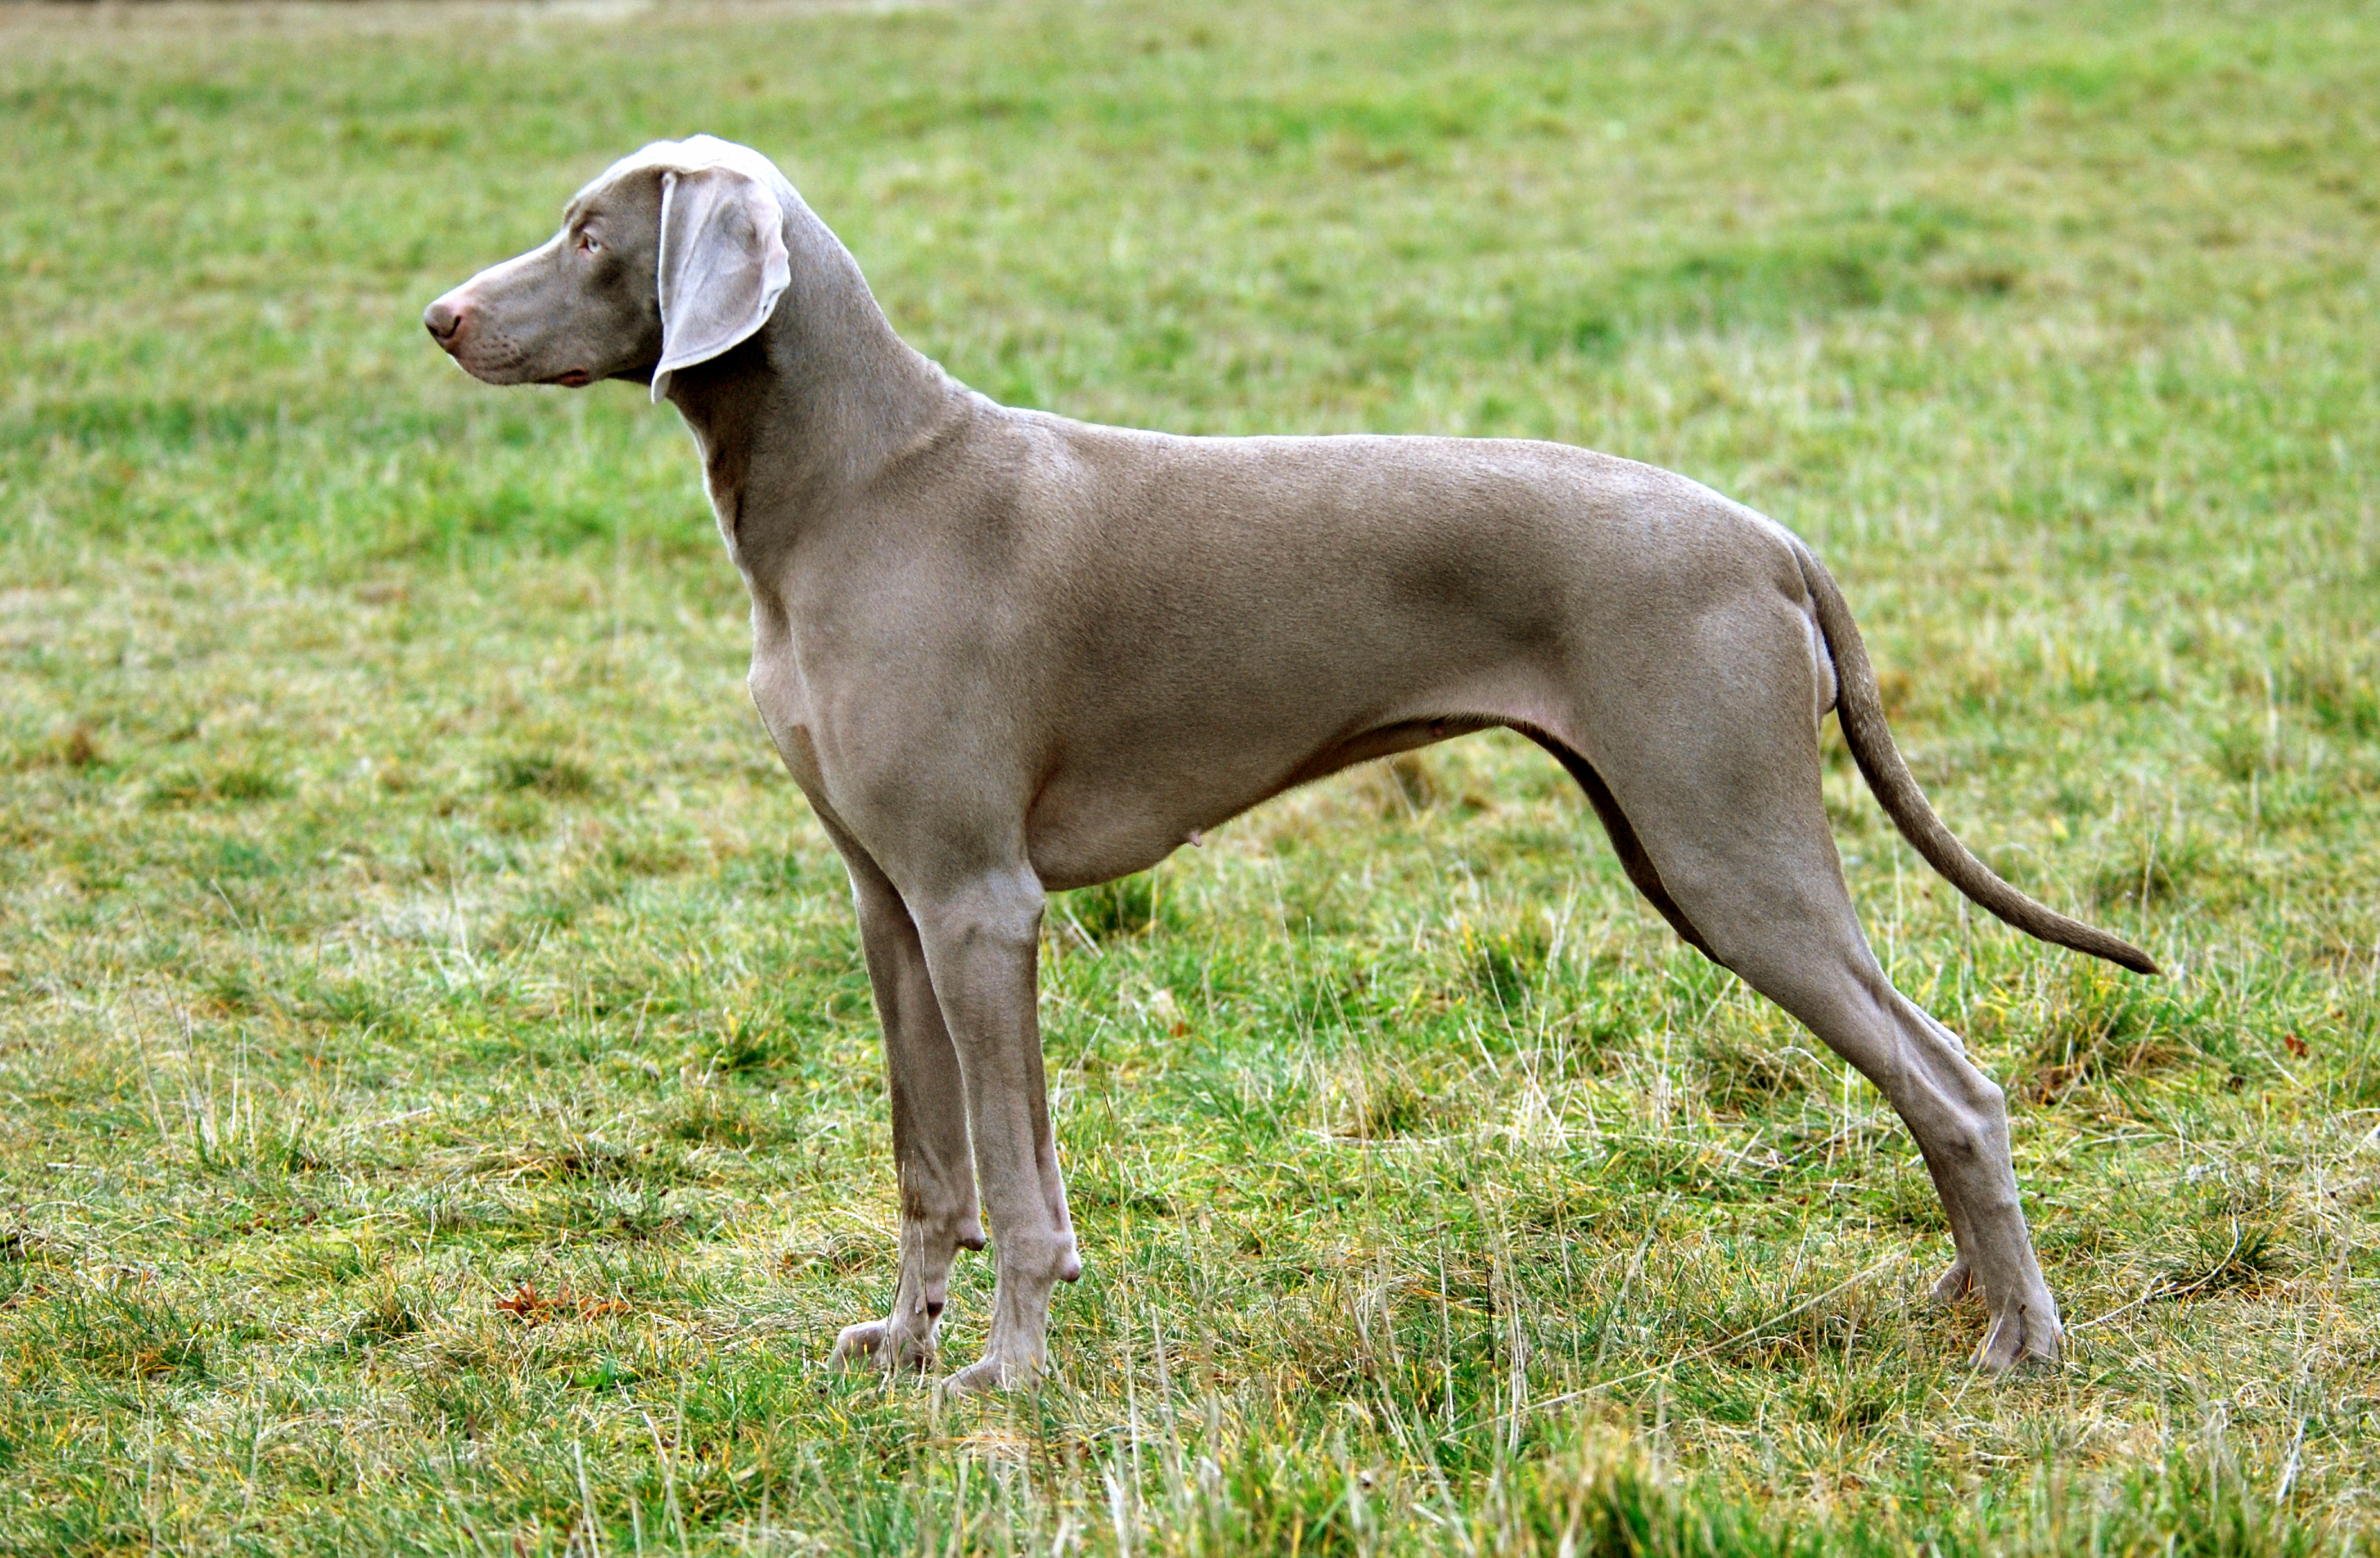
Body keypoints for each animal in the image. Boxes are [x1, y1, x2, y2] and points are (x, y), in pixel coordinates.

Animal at [423, 140, 2161, 1401]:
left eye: (589, 234)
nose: (437, 316)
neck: (861, 488)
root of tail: (1769, 534)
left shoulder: (979, 902)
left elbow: (1014, 1177)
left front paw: (1003, 1373)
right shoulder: (887, 903)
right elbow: (933, 1163)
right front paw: (902, 1343)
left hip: (1729, 849)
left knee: (1955, 1081)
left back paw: (2021, 1336)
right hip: (1683, 847)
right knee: (1926, 1066)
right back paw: (1961, 1287)